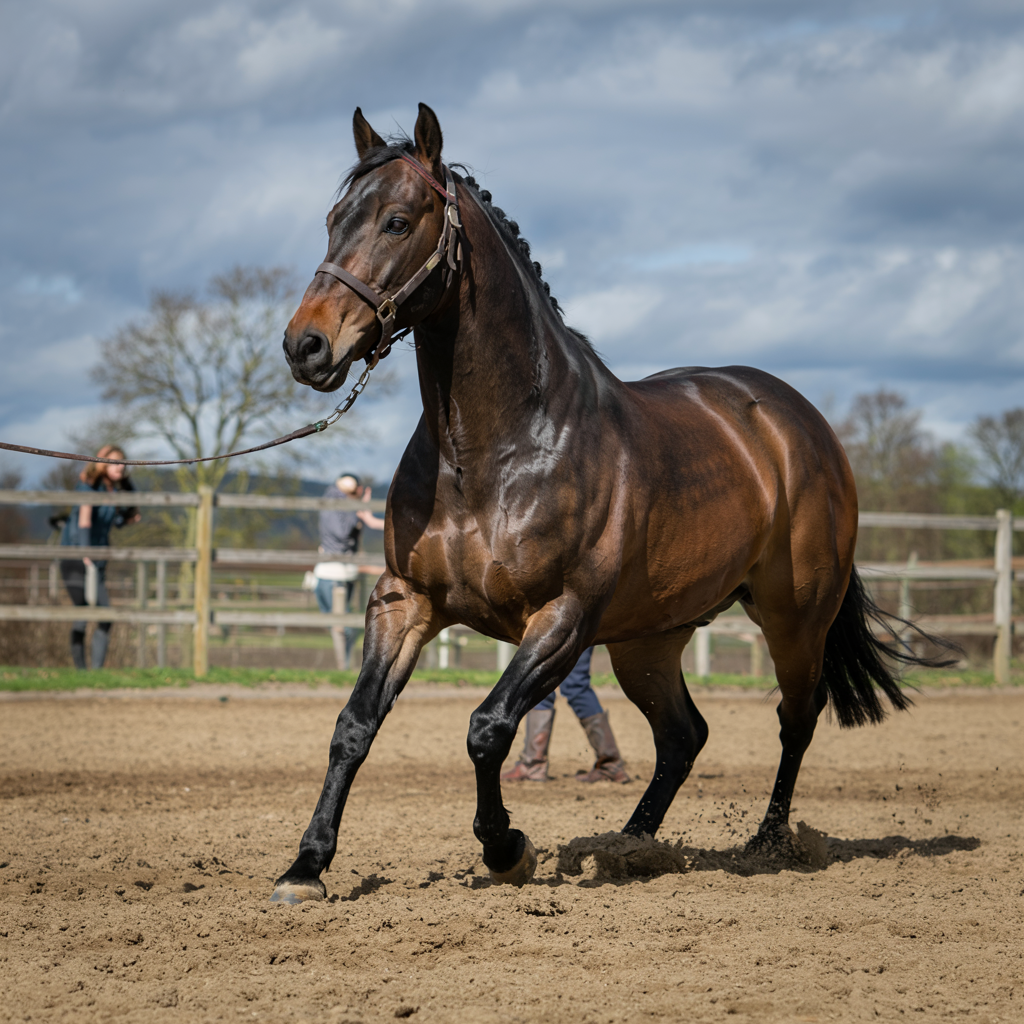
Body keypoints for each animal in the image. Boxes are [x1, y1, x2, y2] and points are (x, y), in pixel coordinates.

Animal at [275, 103, 950, 904]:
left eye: (399, 221)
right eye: (332, 219)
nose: (306, 346)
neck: (495, 452)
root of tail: (800, 423)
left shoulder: (562, 617)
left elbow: (487, 728)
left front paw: (507, 850)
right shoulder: (403, 600)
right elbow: (354, 725)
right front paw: (305, 867)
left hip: (792, 615)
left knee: (797, 715)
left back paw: (767, 842)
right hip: (648, 639)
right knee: (684, 736)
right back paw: (629, 845)